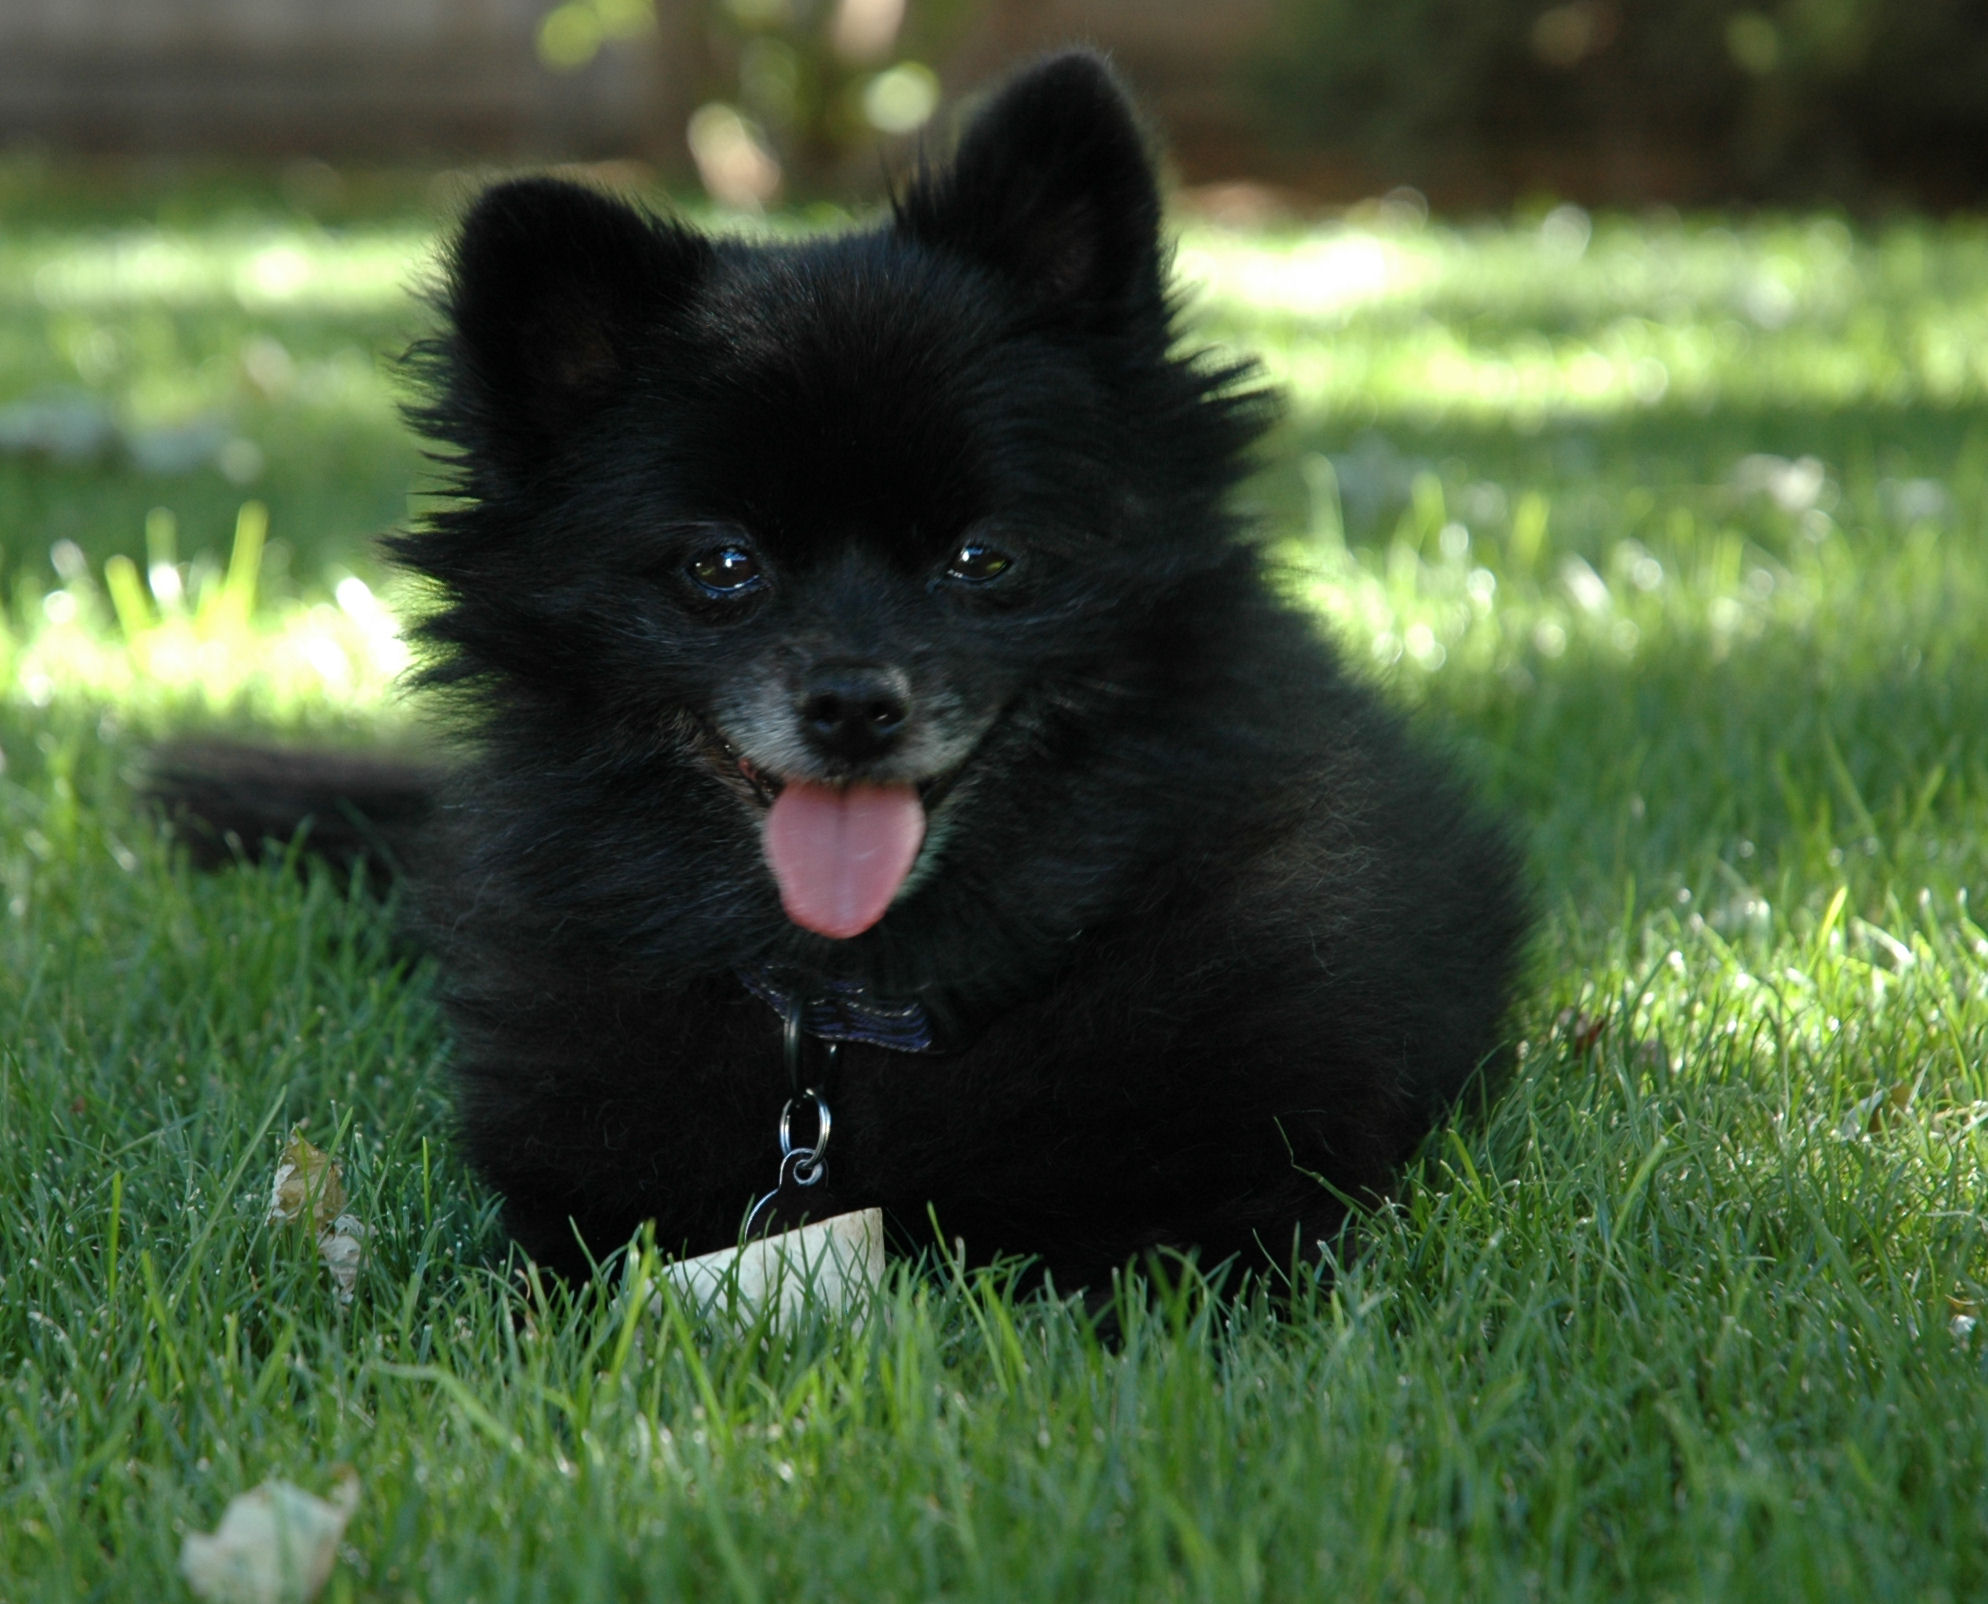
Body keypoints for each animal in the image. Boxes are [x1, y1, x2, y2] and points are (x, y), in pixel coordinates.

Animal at [155, 53, 1526, 1295]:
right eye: (720, 564)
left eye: (984, 557)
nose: (854, 706)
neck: (852, 1009)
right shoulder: (581, 1203)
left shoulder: (1240, 1196)